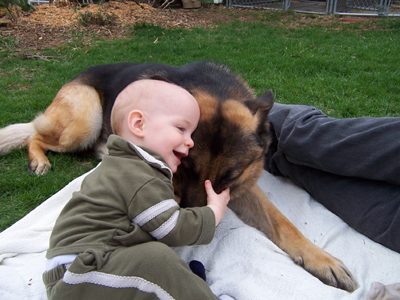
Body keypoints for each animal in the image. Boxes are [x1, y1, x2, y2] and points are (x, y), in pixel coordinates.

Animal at [0, 61, 356, 290]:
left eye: (228, 177)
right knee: (35, 134)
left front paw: (320, 258)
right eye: (183, 165)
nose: (196, 223)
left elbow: (281, 221)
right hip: (84, 122)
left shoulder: (243, 188)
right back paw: (39, 160)